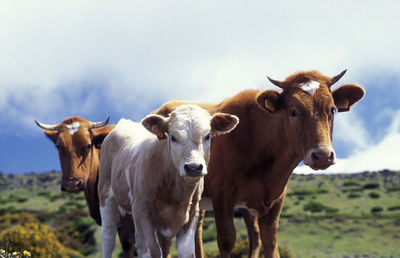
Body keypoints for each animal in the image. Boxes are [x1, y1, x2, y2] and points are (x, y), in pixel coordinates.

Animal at [98, 105, 239, 258]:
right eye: (172, 137)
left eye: (208, 135)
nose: (193, 167)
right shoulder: (141, 208)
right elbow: (152, 250)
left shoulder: (192, 212)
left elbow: (186, 251)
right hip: (106, 194)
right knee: (108, 236)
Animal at [153, 69, 366, 256]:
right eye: (293, 111)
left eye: (332, 110)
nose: (322, 155)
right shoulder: (222, 197)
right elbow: (227, 241)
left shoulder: (274, 202)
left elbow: (269, 243)